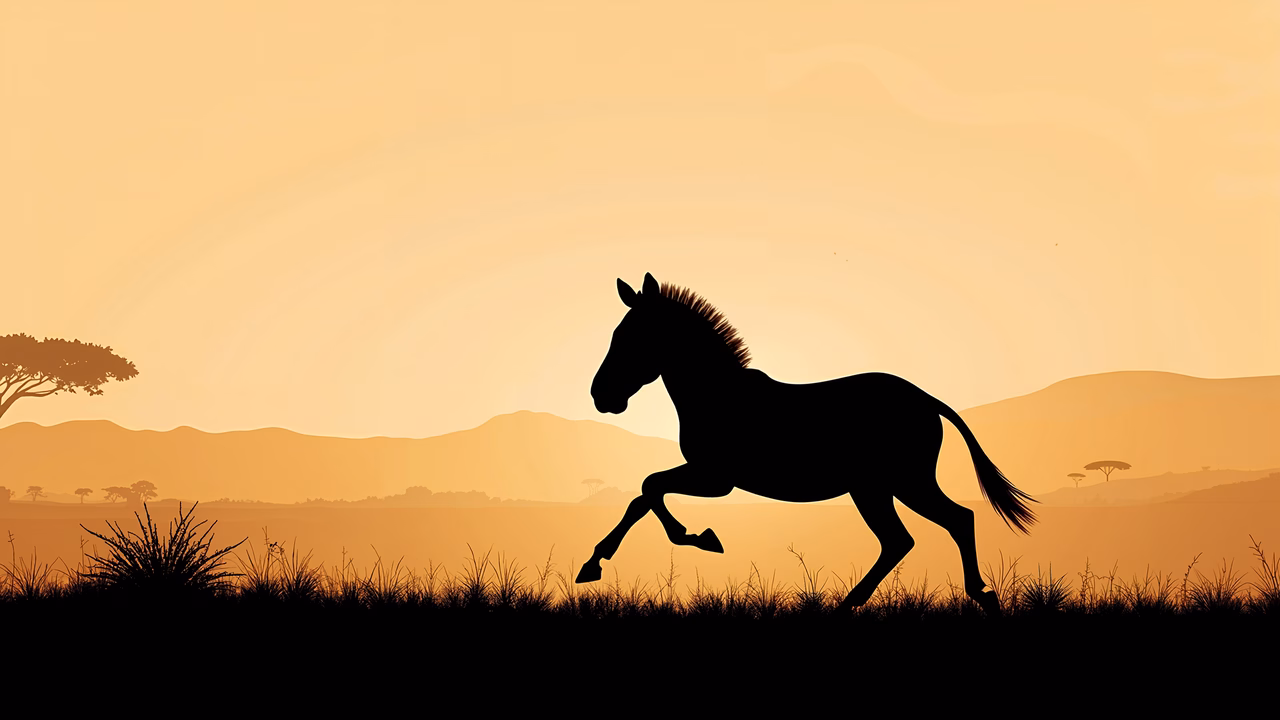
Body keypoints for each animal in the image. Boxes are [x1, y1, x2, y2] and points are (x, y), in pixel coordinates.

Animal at [575, 273, 1036, 615]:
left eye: (632, 337)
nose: (601, 396)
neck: (717, 395)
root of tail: (924, 398)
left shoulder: (716, 478)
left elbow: (650, 487)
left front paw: (699, 537)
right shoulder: (709, 477)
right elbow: (642, 495)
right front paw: (593, 563)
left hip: (899, 483)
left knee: (948, 522)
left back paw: (972, 596)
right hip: (879, 487)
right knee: (907, 537)